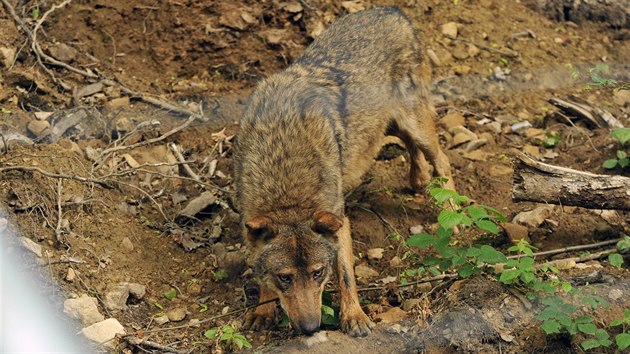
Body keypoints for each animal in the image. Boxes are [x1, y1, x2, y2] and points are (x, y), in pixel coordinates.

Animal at [235, 6, 456, 338]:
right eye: (285, 277)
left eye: (318, 273)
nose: (311, 328)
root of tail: (395, 11)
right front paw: (263, 309)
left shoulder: (339, 221)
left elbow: (346, 275)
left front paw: (354, 317)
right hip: (383, 126)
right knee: (410, 147)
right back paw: (418, 179)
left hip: (415, 125)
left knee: (443, 160)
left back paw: (456, 218)